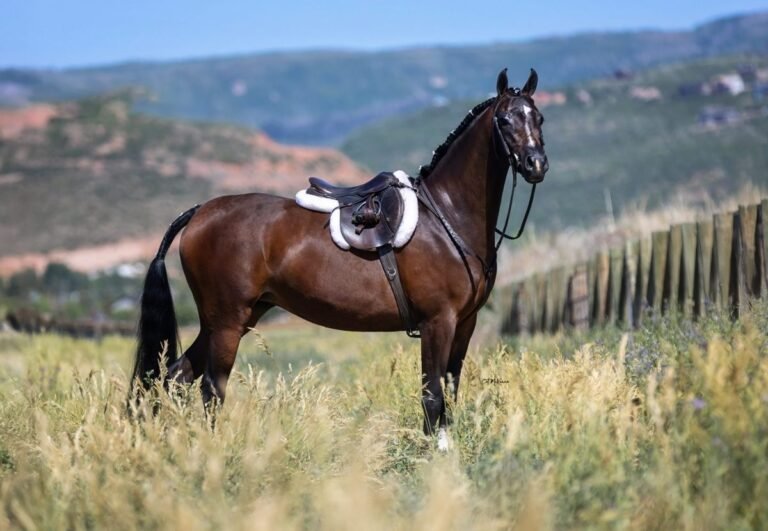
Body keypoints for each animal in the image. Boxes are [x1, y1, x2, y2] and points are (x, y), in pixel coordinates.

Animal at [131, 67, 549, 443]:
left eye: (538, 117)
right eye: (505, 119)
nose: (536, 165)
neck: (445, 215)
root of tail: (200, 212)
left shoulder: (464, 324)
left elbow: (450, 392)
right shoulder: (437, 322)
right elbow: (433, 398)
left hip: (230, 319)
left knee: (175, 377)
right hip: (227, 323)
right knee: (210, 391)